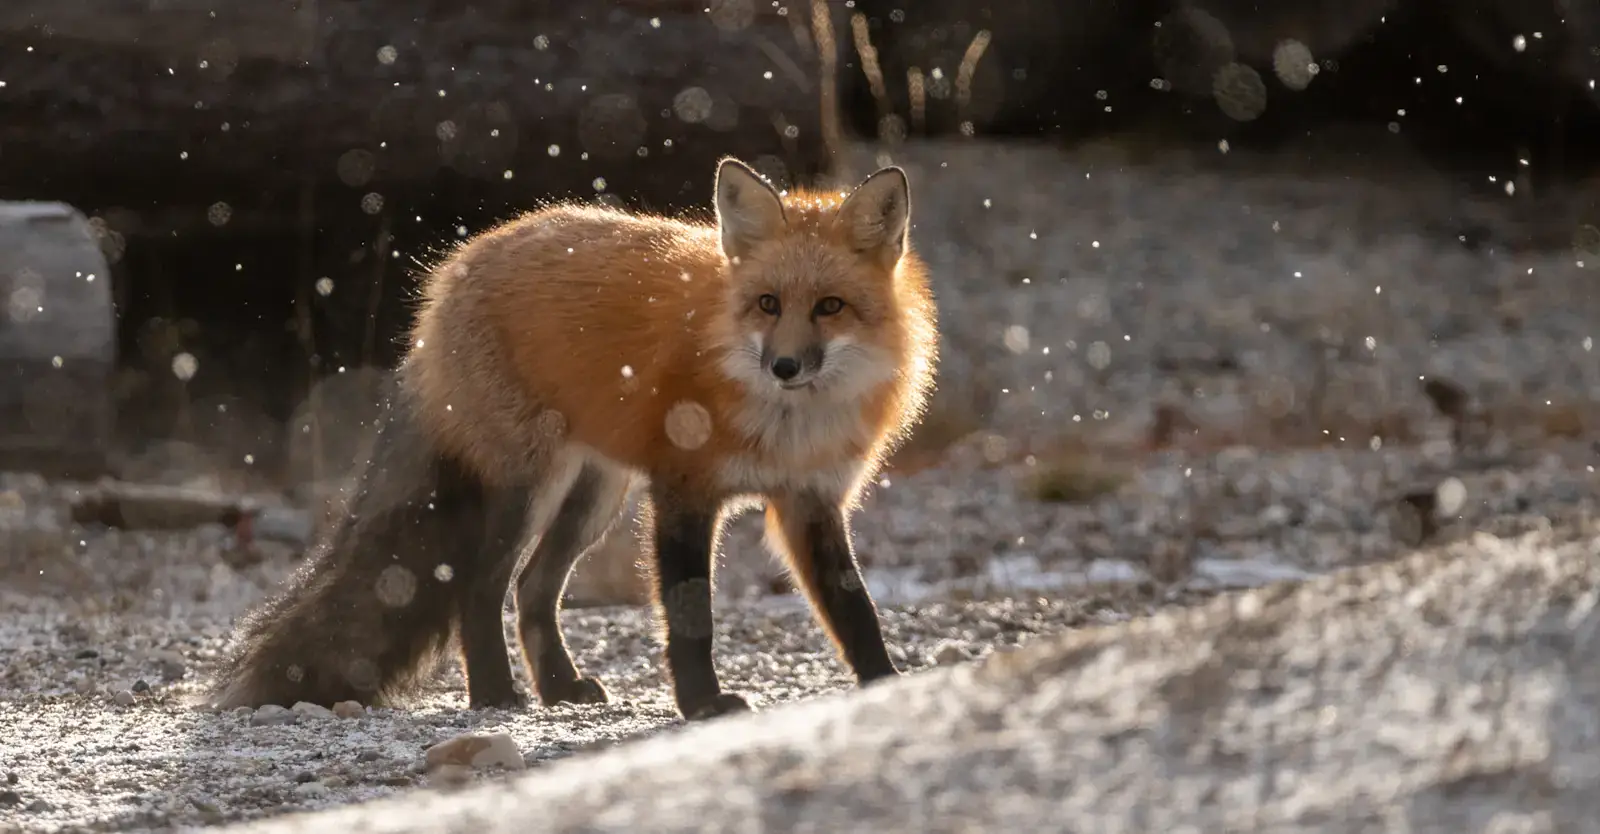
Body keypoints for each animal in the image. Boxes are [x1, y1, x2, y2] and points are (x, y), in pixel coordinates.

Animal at [207, 156, 939, 721]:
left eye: (829, 307)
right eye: (768, 305)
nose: (783, 366)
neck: (789, 425)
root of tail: (452, 272)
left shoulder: (810, 501)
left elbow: (856, 609)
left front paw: (885, 685)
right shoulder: (683, 493)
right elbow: (690, 616)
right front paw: (702, 705)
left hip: (596, 495)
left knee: (533, 587)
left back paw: (557, 687)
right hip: (532, 484)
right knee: (481, 586)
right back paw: (495, 695)